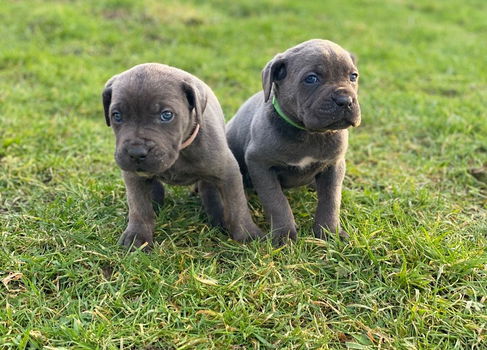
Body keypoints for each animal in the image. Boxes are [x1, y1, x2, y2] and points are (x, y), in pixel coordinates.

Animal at [102, 63, 264, 249]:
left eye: (166, 115)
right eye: (116, 116)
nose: (136, 153)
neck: (179, 153)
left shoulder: (228, 173)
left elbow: (237, 206)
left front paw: (247, 235)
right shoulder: (133, 177)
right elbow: (139, 206)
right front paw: (137, 236)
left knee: (208, 188)